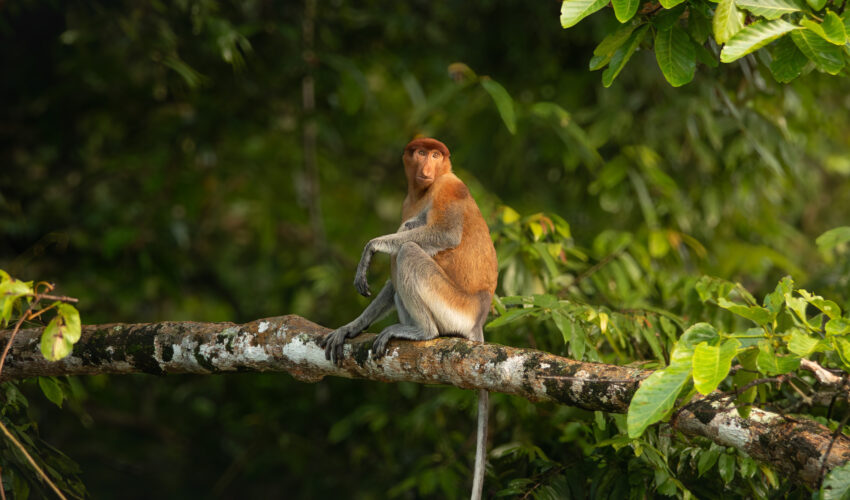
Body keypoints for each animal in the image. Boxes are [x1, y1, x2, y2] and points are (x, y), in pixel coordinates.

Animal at [320, 137, 498, 499]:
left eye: (436, 155)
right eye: (420, 153)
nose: (427, 166)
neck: (423, 191)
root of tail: (478, 317)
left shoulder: (449, 188)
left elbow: (444, 234)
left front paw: (370, 248)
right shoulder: (407, 202)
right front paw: (350, 327)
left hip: (453, 304)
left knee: (408, 248)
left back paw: (421, 331)